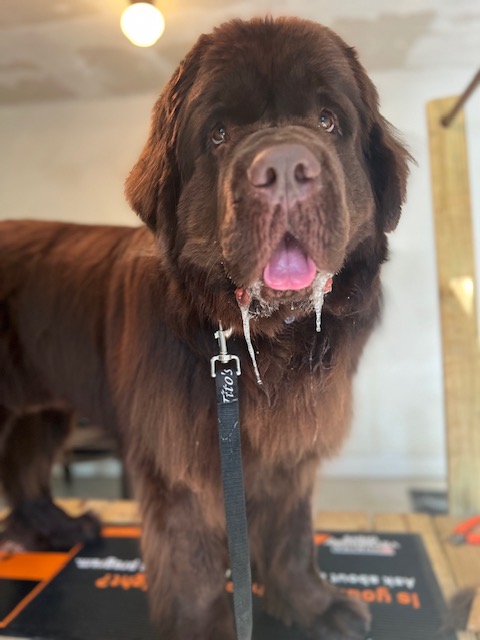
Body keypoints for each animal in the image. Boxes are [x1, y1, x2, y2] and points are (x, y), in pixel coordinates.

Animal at [0, 15, 408, 640]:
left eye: (326, 119)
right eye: (219, 133)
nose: (284, 169)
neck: (262, 340)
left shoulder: (290, 447)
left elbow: (291, 533)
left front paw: (312, 604)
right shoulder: (182, 458)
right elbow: (190, 561)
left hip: (43, 407)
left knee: (25, 470)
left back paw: (61, 528)